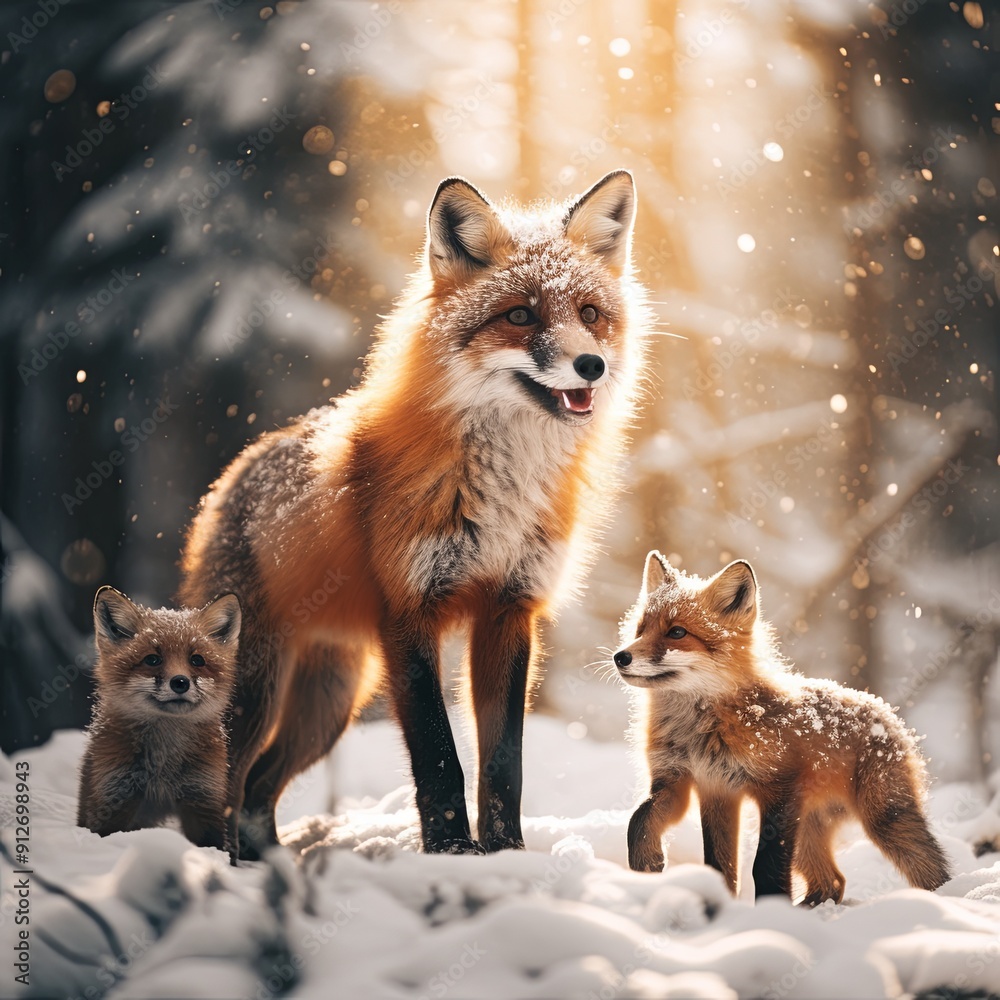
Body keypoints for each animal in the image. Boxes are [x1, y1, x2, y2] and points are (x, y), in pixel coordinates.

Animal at [77, 586, 241, 853]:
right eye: (152, 659)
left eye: (197, 660)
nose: (180, 682)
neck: (163, 765)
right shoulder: (114, 795)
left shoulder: (203, 796)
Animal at [179, 170, 651, 858]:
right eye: (519, 315)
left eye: (589, 314)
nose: (592, 364)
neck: (502, 486)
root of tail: (235, 471)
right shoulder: (408, 612)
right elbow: (437, 754)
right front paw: (451, 850)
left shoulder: (510, 608)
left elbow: (503, 760)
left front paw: (506, 854)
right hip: (257, 689)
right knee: (227, 778)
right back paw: (218, 863)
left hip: (329, 703)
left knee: (259, 787)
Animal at [614, 551, 951, 904]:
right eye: (640, 630)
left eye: (677, 633)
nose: (620, 657)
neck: (698, 732)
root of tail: (884, 710)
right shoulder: (692, 783)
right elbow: (644, 822)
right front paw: (648, 864)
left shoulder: (779, 789)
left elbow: (765, 867)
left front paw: (769, 909)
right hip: (808, 831)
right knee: (833, 882)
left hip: (882, 821)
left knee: (927, 870)